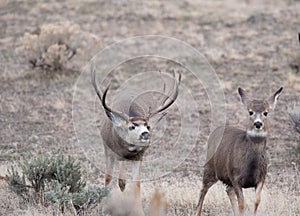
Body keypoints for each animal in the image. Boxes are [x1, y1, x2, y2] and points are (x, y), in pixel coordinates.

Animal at [196, 87, 282, 215]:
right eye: (250, 112)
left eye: (265, 112)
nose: (258, 123)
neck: (251, 166)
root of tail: (215, 131)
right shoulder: (235, 177)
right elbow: (242, 204)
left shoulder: (261, 178)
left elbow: (257, 201)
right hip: (210, 168)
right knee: (203, 190)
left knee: (227, 190)